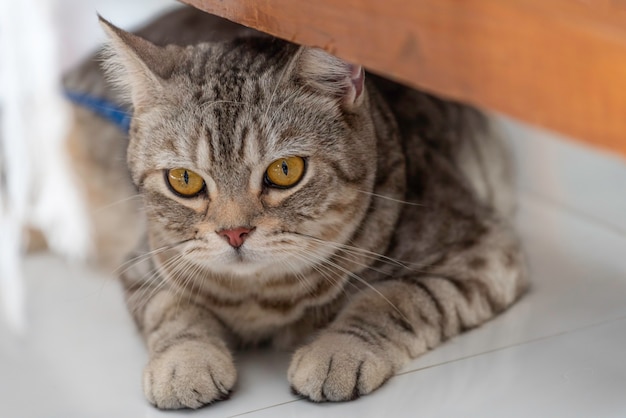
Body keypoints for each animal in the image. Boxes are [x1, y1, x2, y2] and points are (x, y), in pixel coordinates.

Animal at [62, 5, 528, 412]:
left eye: (285, 170)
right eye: (184, 180)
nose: (233, 232)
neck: (261, 296)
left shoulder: (480, 250)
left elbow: (397, 298)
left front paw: (338, 349)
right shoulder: (145, 264)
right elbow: (172, 311)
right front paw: (184, 363)